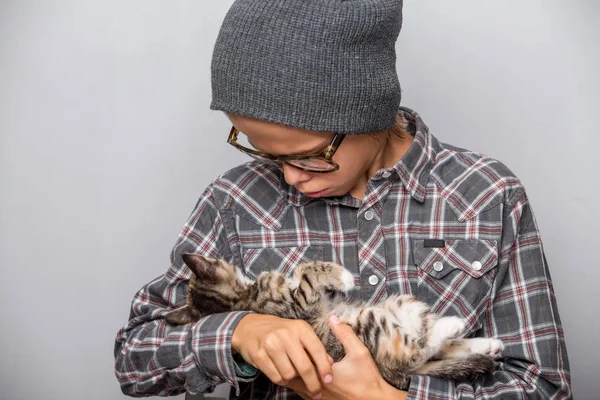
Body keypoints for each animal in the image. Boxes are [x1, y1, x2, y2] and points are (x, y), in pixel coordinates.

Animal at [164, 255, 502, 390]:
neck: (241, 300)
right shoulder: (297, 304)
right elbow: (306, 270)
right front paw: (342, 276)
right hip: (372, 326)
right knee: (417, 351)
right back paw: (452, 328)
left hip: (402, 304)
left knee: (431, 347)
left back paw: (486, 344)